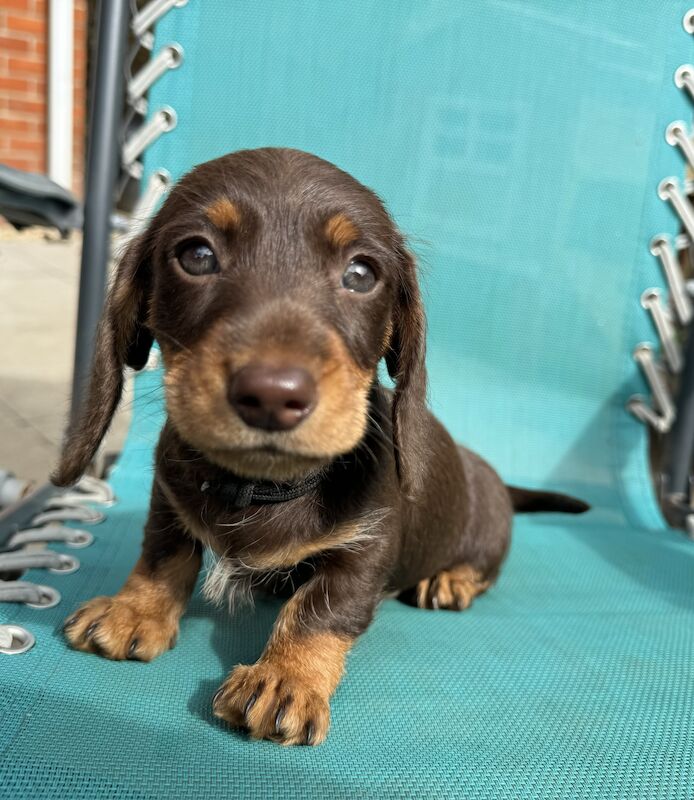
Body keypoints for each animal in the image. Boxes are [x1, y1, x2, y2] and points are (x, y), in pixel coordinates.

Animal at [54, 148, 588, 744]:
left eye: (360, 273)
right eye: (196, 255)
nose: (272, 394)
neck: (263, 487)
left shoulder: (366, 547)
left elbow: (319, 610)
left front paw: (284, 678)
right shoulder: (168, 498)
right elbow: (162, 553)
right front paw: (134, 610)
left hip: (486, 534)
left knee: (481, 568)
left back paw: (449, 580)